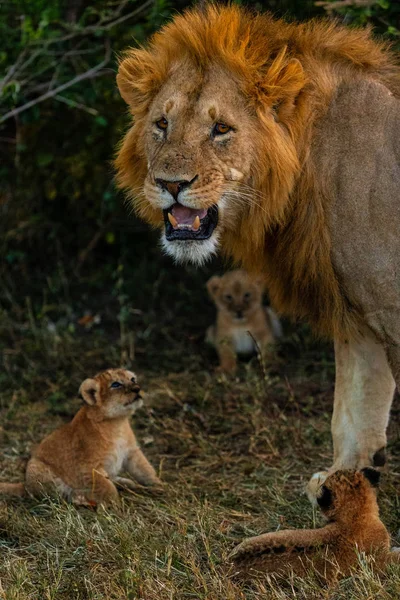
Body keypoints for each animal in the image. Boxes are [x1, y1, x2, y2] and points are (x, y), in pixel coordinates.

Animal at [115, 2, 400, 476]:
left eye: (221, 129)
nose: (170, 184)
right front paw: (345, 482)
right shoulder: (357, 312)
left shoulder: (390, 309)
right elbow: (355, 408)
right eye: (162, 123)